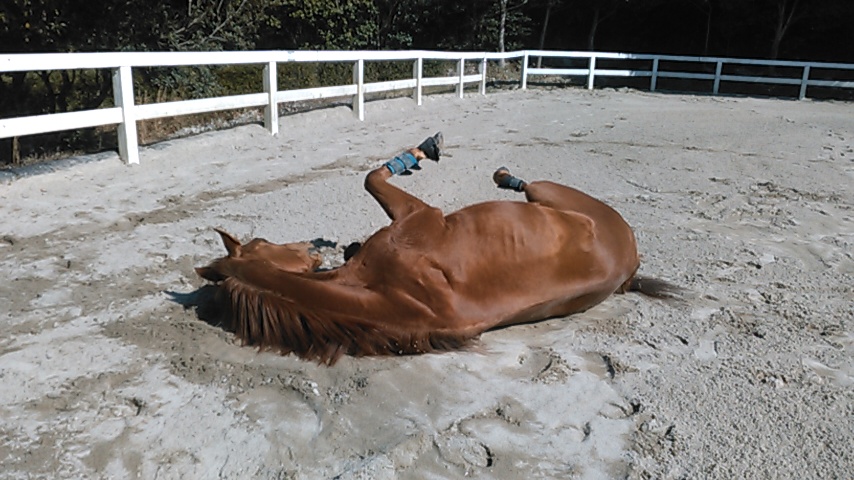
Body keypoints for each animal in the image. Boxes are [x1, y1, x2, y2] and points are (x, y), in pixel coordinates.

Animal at [195, 133, 680, 364]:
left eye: (260, 241)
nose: (309, 247)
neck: (390, 294)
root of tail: (630, 263)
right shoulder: (417, 214)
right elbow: (371, 178)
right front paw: (421, 152)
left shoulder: (415, 214)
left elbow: (370, 178)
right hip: (546, 192)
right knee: (524, 184)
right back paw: (501, 174)